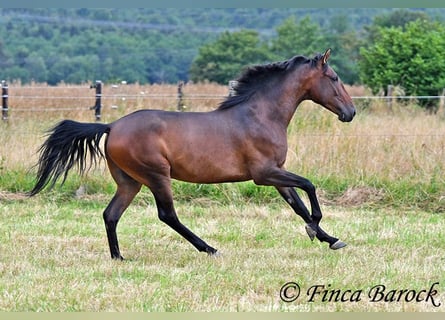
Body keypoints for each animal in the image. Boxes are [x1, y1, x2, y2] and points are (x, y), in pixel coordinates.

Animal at [28, 49, 354, 260]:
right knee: (167, 214)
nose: (350, 112)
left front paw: (330, 239)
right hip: (156, 176)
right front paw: (315, 228)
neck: (260, 115)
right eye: (334, 77)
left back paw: (118, 257)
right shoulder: (264, 174)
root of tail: (111, 125)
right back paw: (209, 248)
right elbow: (309, 187)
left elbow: (297, 204)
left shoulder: (276, 173)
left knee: (111, 214)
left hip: (130, 182)